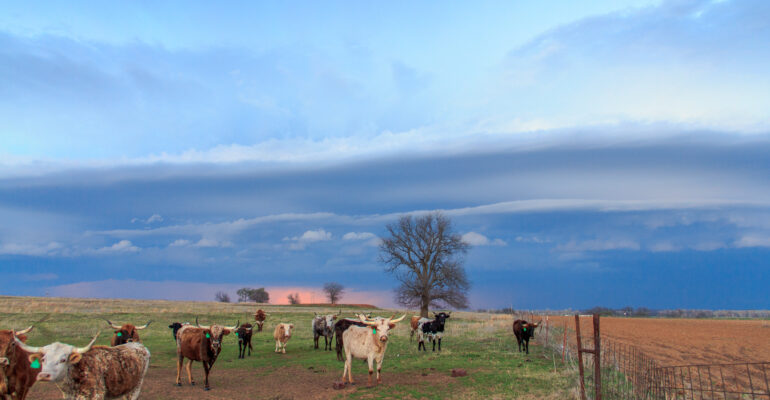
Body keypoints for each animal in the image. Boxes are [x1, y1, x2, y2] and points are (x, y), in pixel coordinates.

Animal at [16, 332, 151, 400]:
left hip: (134, 389)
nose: (44, 375)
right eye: (43, 359)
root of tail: (139, 346)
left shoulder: (96, 396)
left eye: (63, 359)